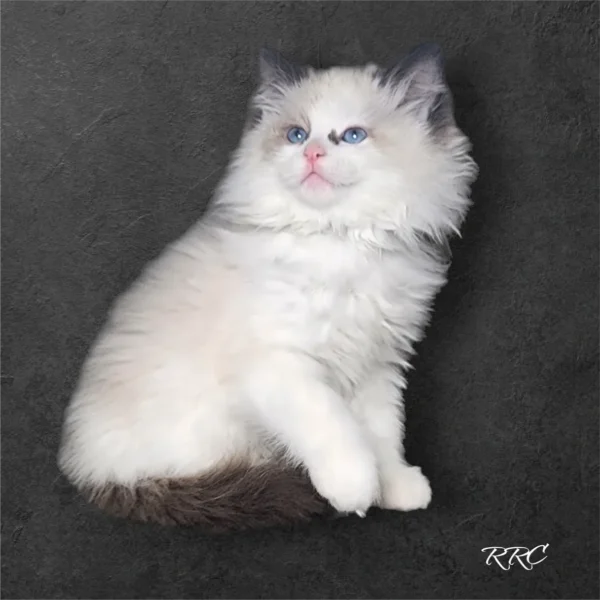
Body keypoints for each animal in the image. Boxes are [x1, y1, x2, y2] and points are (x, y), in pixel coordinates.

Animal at [56, 43, 478, 528]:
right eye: (296, 135)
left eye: (353, 136)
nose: (312, 154)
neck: (340, 241)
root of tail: (84, 471)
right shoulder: (281, 365)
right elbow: (335, 426)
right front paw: (355, 488)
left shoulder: (378, 366)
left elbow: (383, 434)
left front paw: (394, 486)